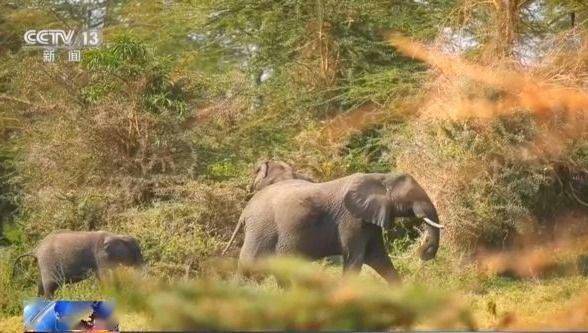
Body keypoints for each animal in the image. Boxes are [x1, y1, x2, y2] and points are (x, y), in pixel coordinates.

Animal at [13, 230, 144, 296]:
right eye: (134, 250)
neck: (115, 235)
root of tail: (36, 250)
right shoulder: (101, 257)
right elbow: (105, 277)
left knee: (41, 286)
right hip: (48, 264)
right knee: (50, 286)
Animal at [223, 160, 444, 282]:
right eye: (411, 197)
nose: (424, 253)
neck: (380, 177)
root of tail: (245, 211)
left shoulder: (367, 222)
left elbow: (379, 259)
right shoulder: (351, 220)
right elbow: (356, 259)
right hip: (261, 232)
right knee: (248, 269)